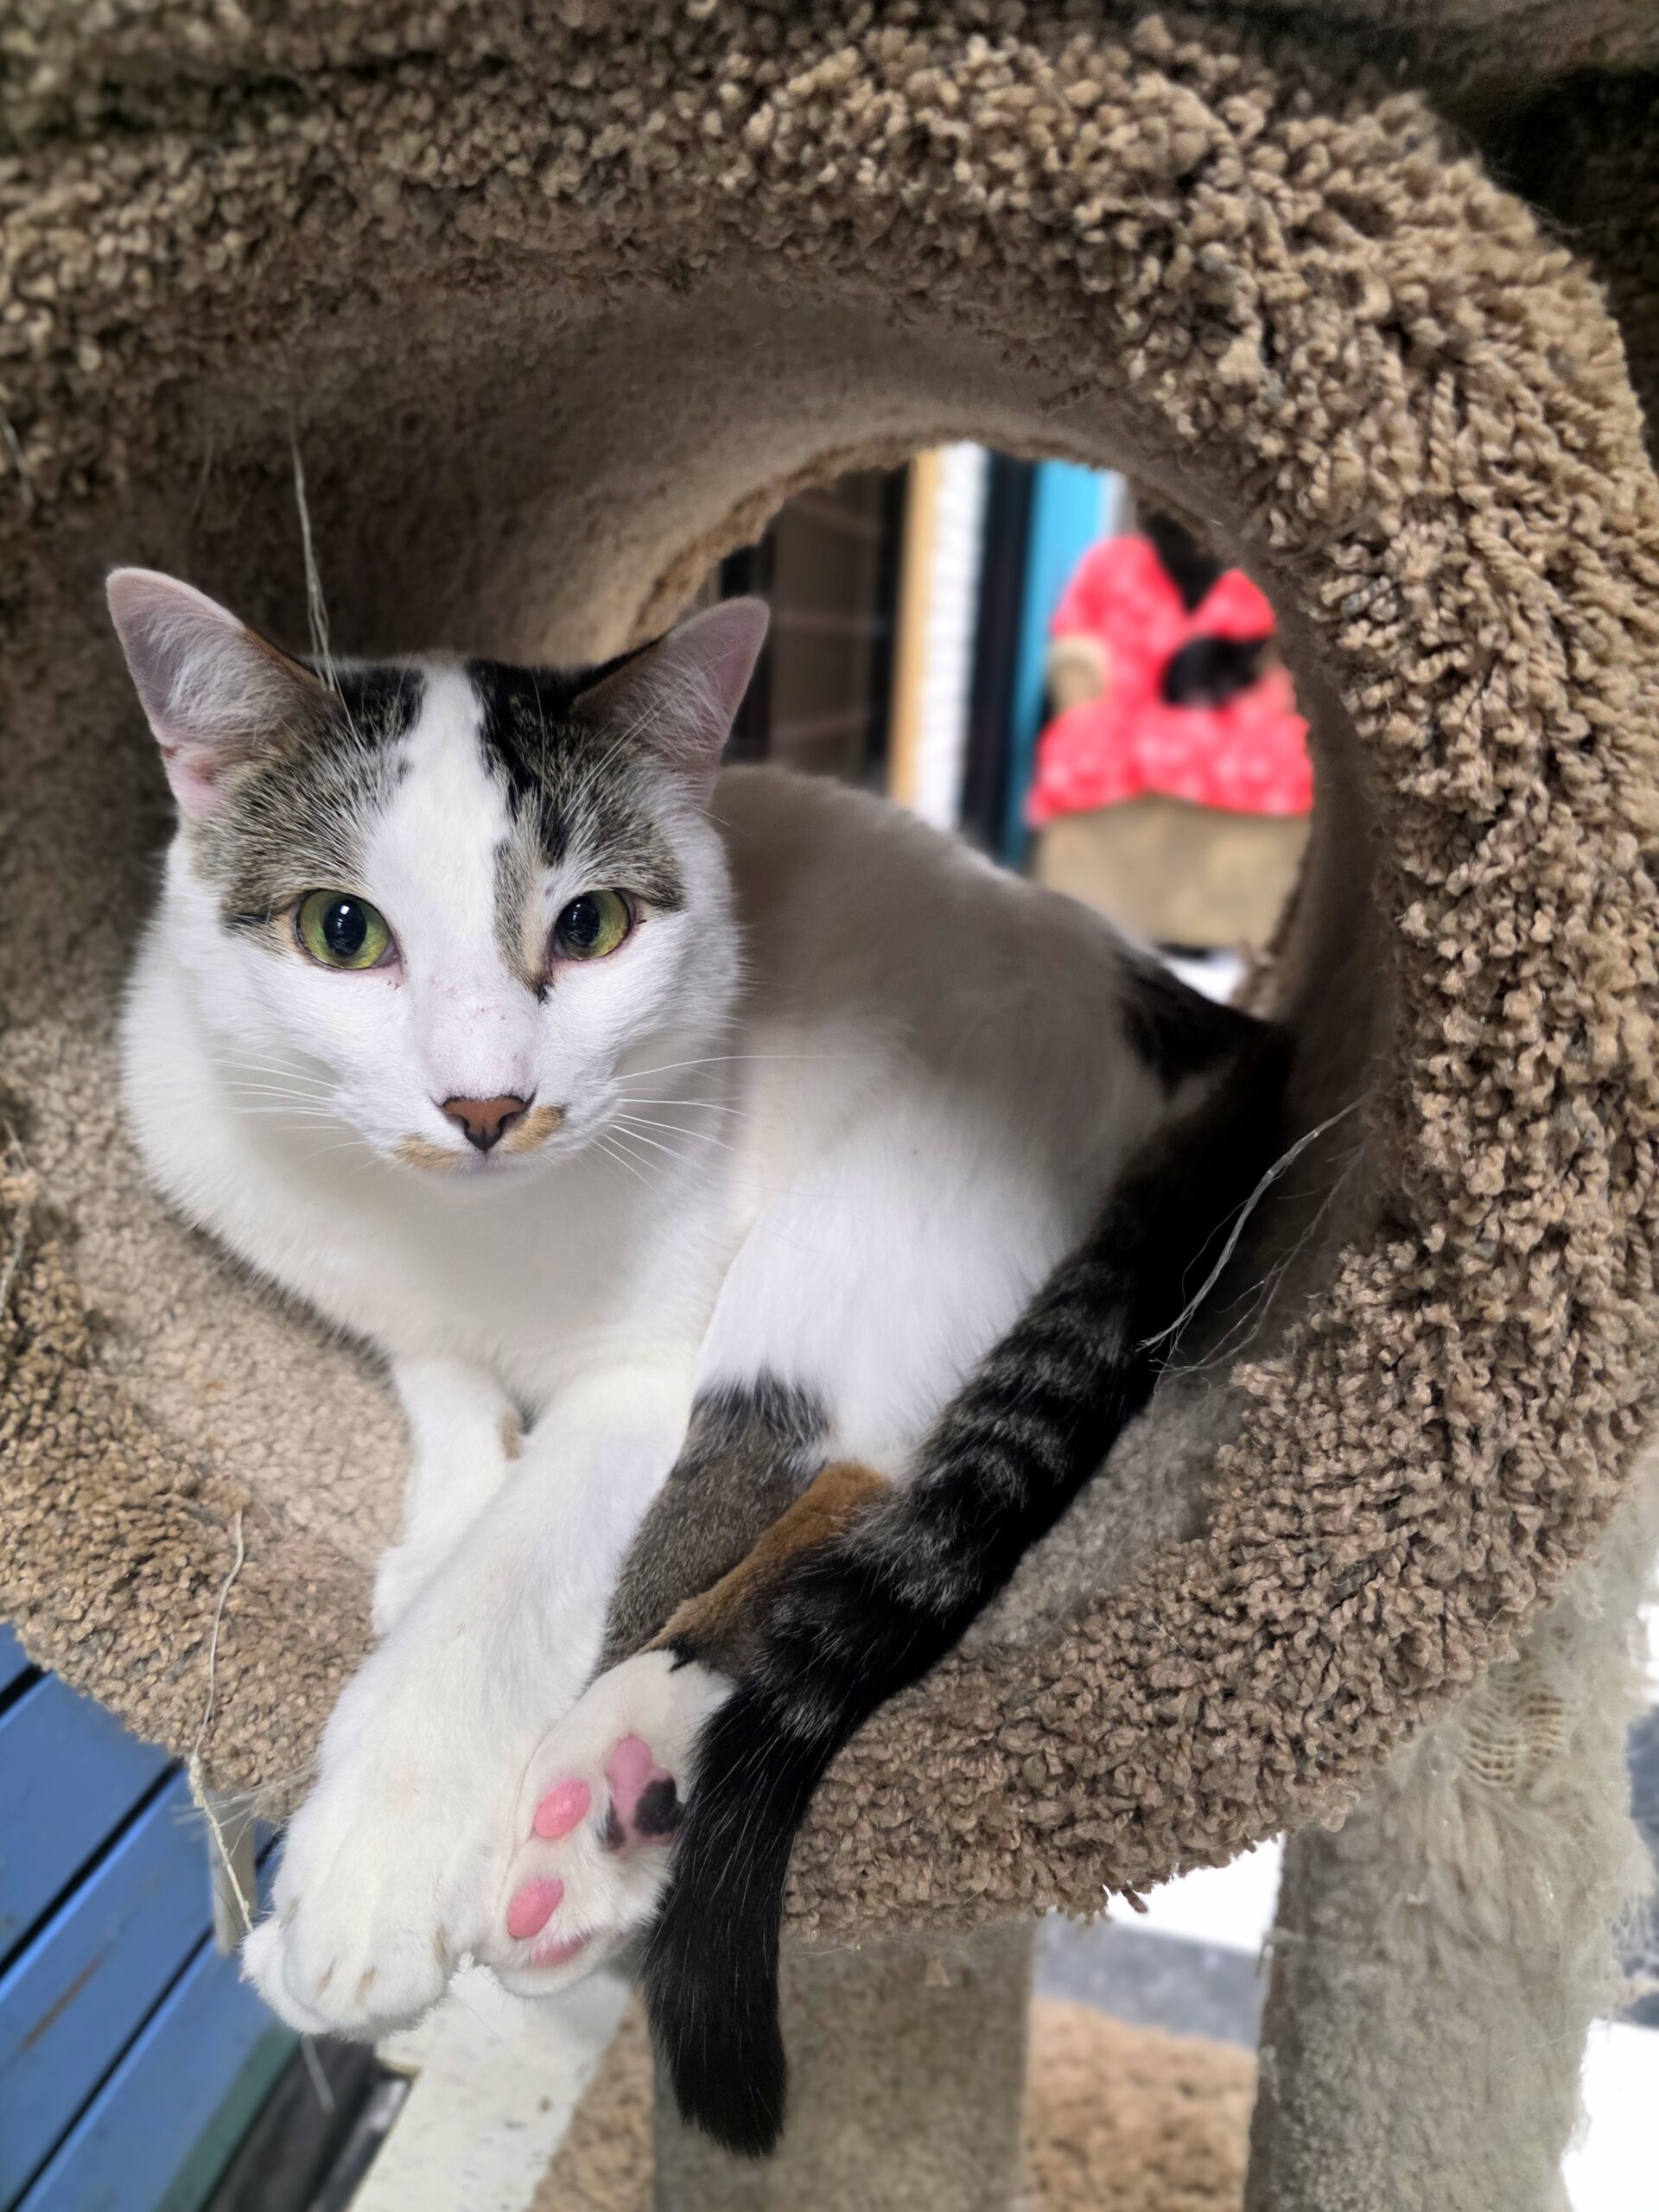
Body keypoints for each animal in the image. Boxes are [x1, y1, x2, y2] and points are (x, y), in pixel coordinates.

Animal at [108, 567, 1285, 2139]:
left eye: (592, 924)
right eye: (341, 932)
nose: (487, 1105)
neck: (465, 1231)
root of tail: (1182, 1010)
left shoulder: (647, 1370)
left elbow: (513, 1575)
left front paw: (373, 1859)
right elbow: (437, 1370)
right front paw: (445, 1506)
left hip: (870, 1210)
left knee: (845, 1482)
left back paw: (624, 1766)